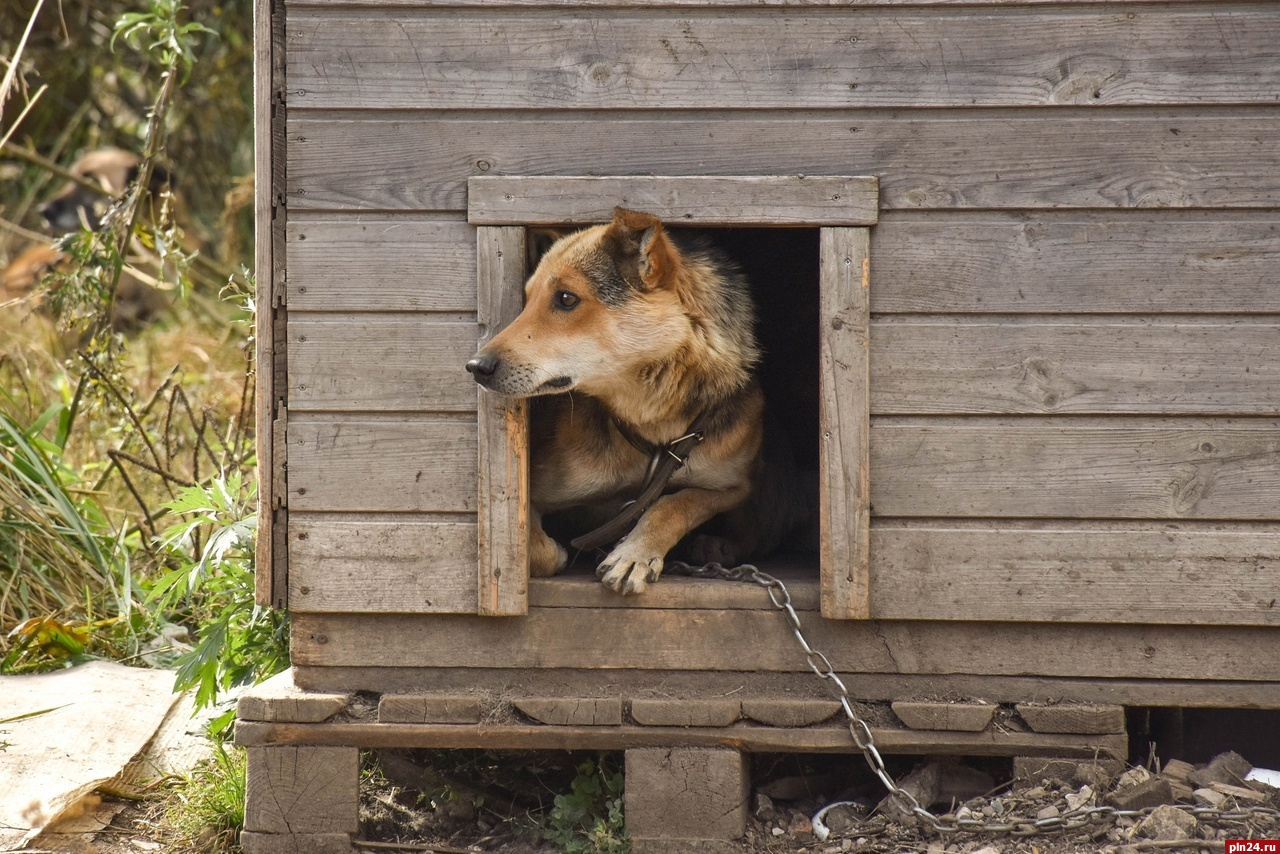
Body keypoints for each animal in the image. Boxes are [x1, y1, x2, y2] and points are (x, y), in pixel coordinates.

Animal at [465, 207, 783, 594]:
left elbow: (676, 502)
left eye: (566, 298)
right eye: (526, 301)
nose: (476, 367)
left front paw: (635, 554)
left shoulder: (732, 485)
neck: (654, 423)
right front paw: (558, 551)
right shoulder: (533, 493)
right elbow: (540, 549)